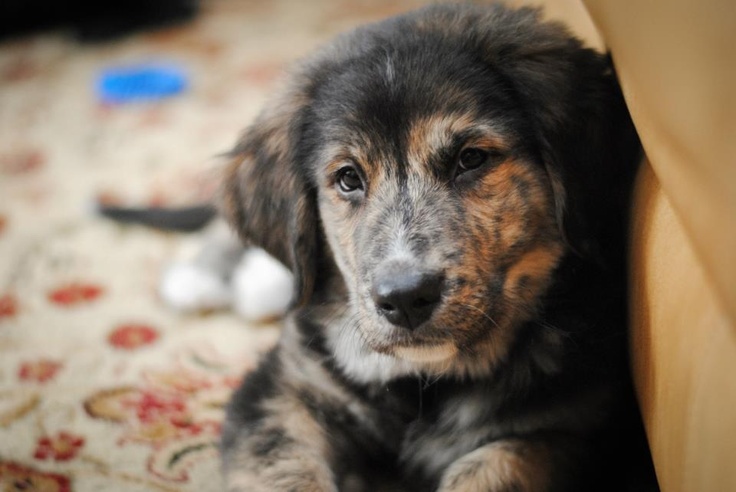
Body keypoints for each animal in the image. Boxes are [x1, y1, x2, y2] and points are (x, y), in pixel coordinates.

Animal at [220, 4, 656, 492]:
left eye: (471, 159)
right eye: (348, 178)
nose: (405, 299)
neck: (429, 384)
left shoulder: (577, 428)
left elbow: (494, 465)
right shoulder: (281, 392)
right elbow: (282, 467)